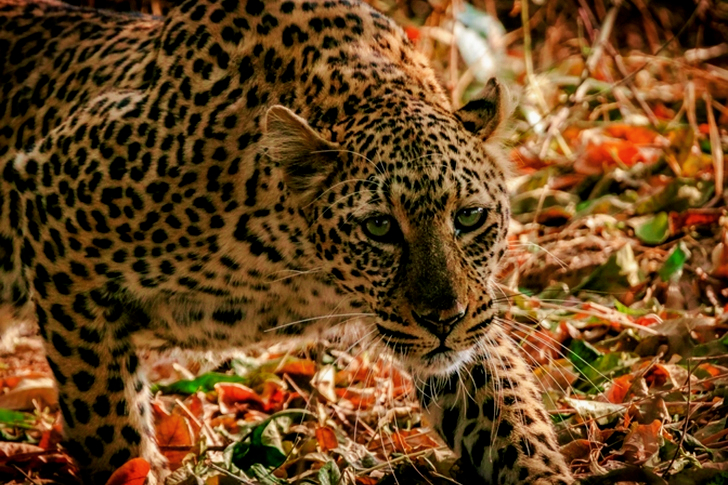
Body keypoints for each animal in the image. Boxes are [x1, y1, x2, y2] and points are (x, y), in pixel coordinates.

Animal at [0, 0, 574, 483]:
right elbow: (109, 420)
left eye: (470, 217)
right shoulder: (54, 209)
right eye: (380, 227)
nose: (443, 319)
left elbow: (510, 416)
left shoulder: (471, 319)